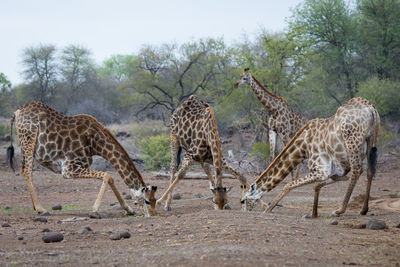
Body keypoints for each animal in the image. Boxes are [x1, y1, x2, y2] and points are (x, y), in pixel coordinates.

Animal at [7, 102, 158, 218]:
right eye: (147, 201)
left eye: (155, 199)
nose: (152, 215)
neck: (95, 143)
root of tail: (17, 112)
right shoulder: (68, 169)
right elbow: (107, 175)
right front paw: (95, 210)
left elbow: (110, 178)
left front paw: (129, 210)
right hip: (29, 139)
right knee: (27, 170)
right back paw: (41, 209)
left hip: (25, 144)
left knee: (24, 169)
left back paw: (35, 207)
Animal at [239, 97, 380, 219]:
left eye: (243, 201)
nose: (244, 212)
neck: (303, 147)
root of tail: (371, 108)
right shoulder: (336, 171)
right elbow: (317, 185)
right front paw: (313, 213)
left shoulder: (321, 170)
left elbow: (288, 185)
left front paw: (268, 209)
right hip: (371, 139)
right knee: (369, 171)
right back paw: (363, 210)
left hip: (352, 140)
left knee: (357, 169)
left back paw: (339, 210)